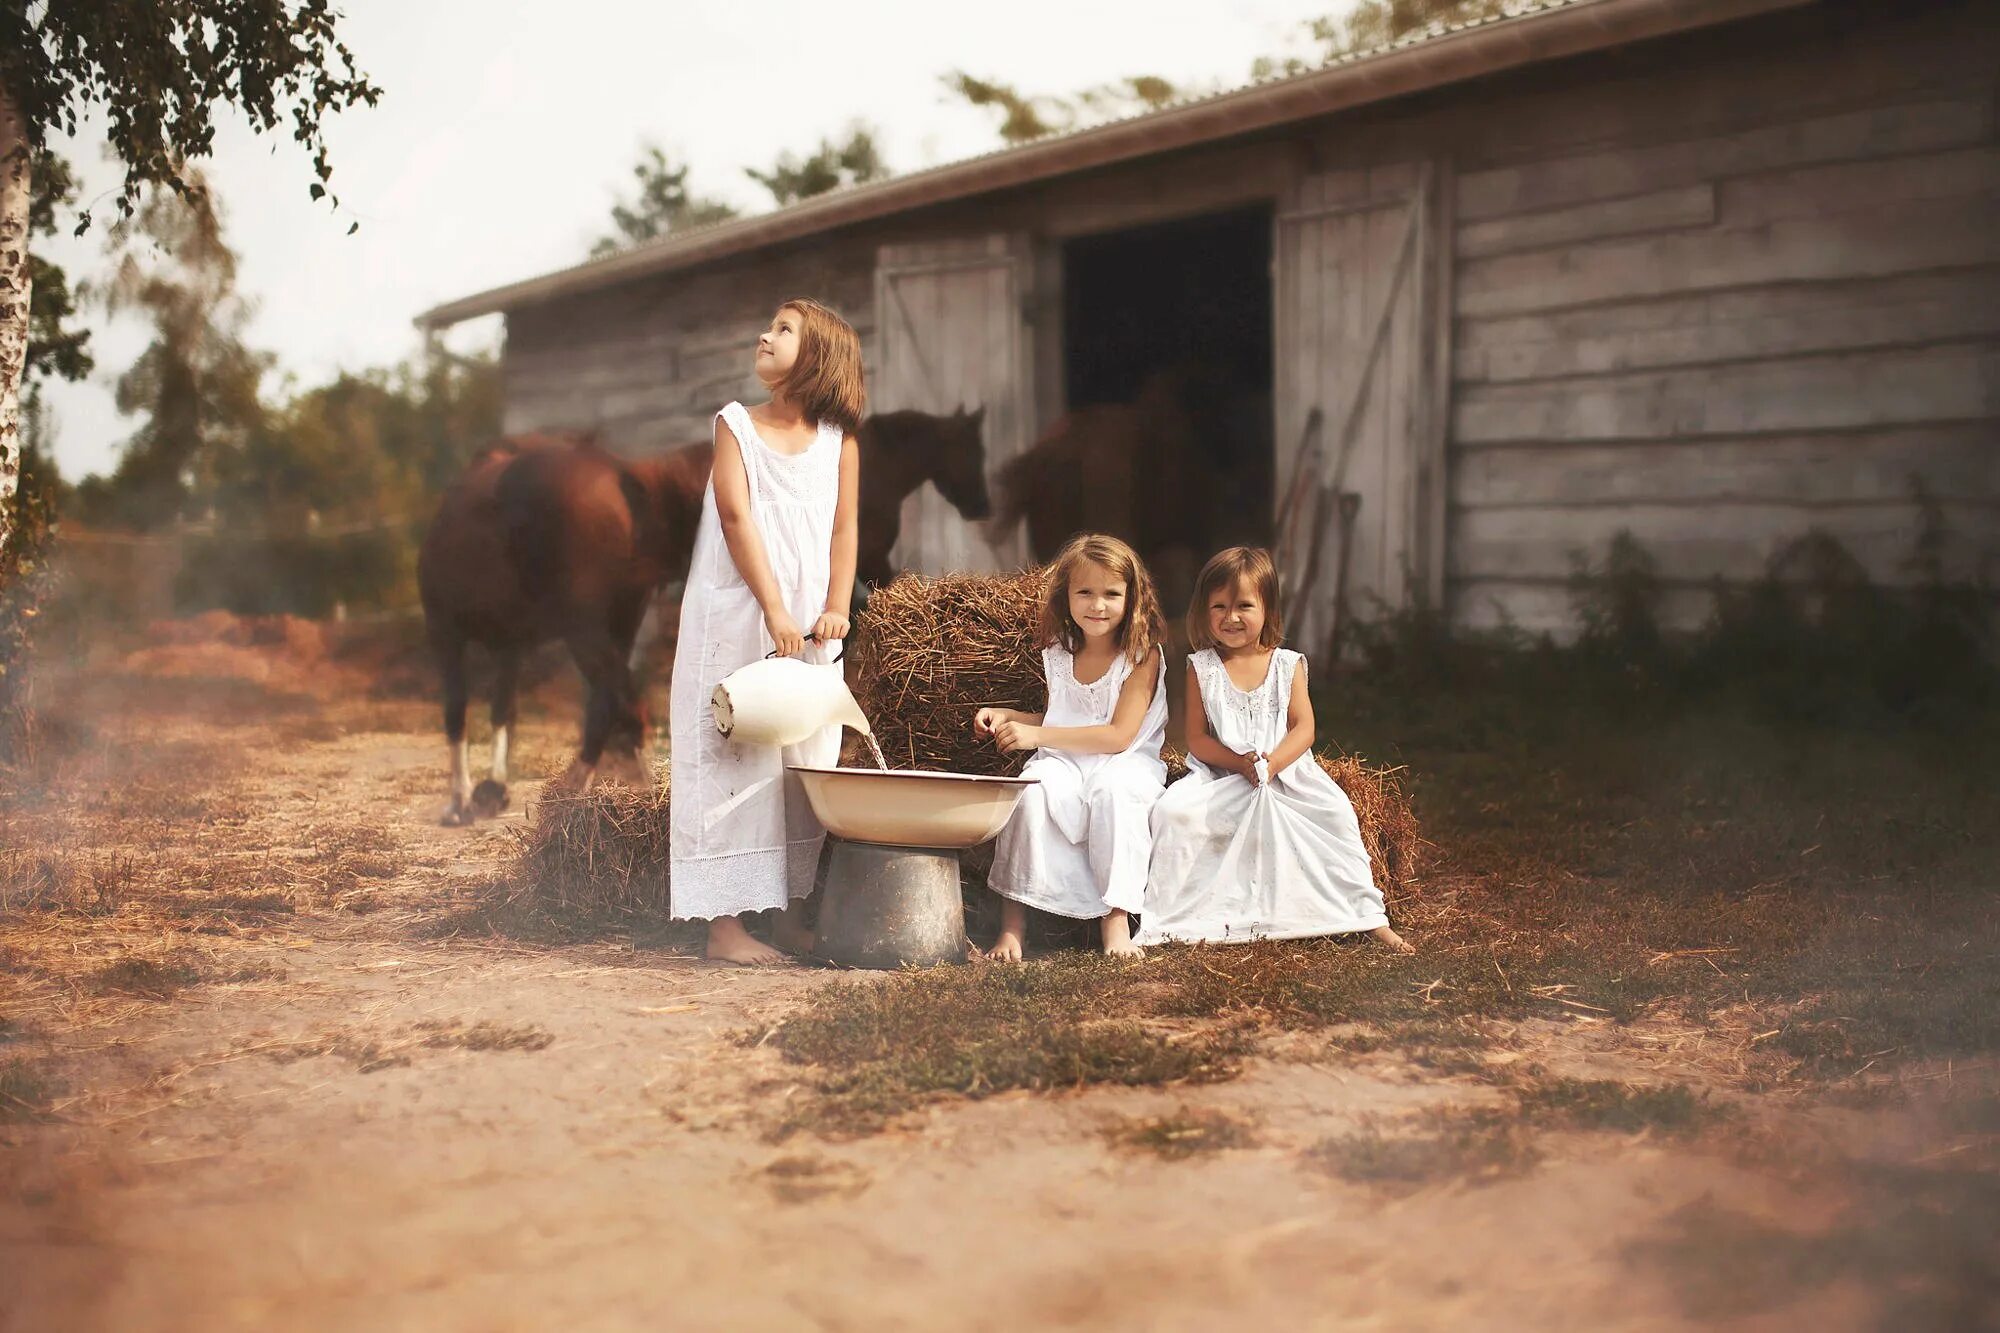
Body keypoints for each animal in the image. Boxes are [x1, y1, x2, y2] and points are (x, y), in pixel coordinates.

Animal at [424, 404, 992, 820]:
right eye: (970, 450)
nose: (983, 507)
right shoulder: (470, 636)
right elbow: (471, 711)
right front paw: (472, 795)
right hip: (588, 627)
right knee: (615, 700)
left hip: (593, 626)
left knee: (614, 701)